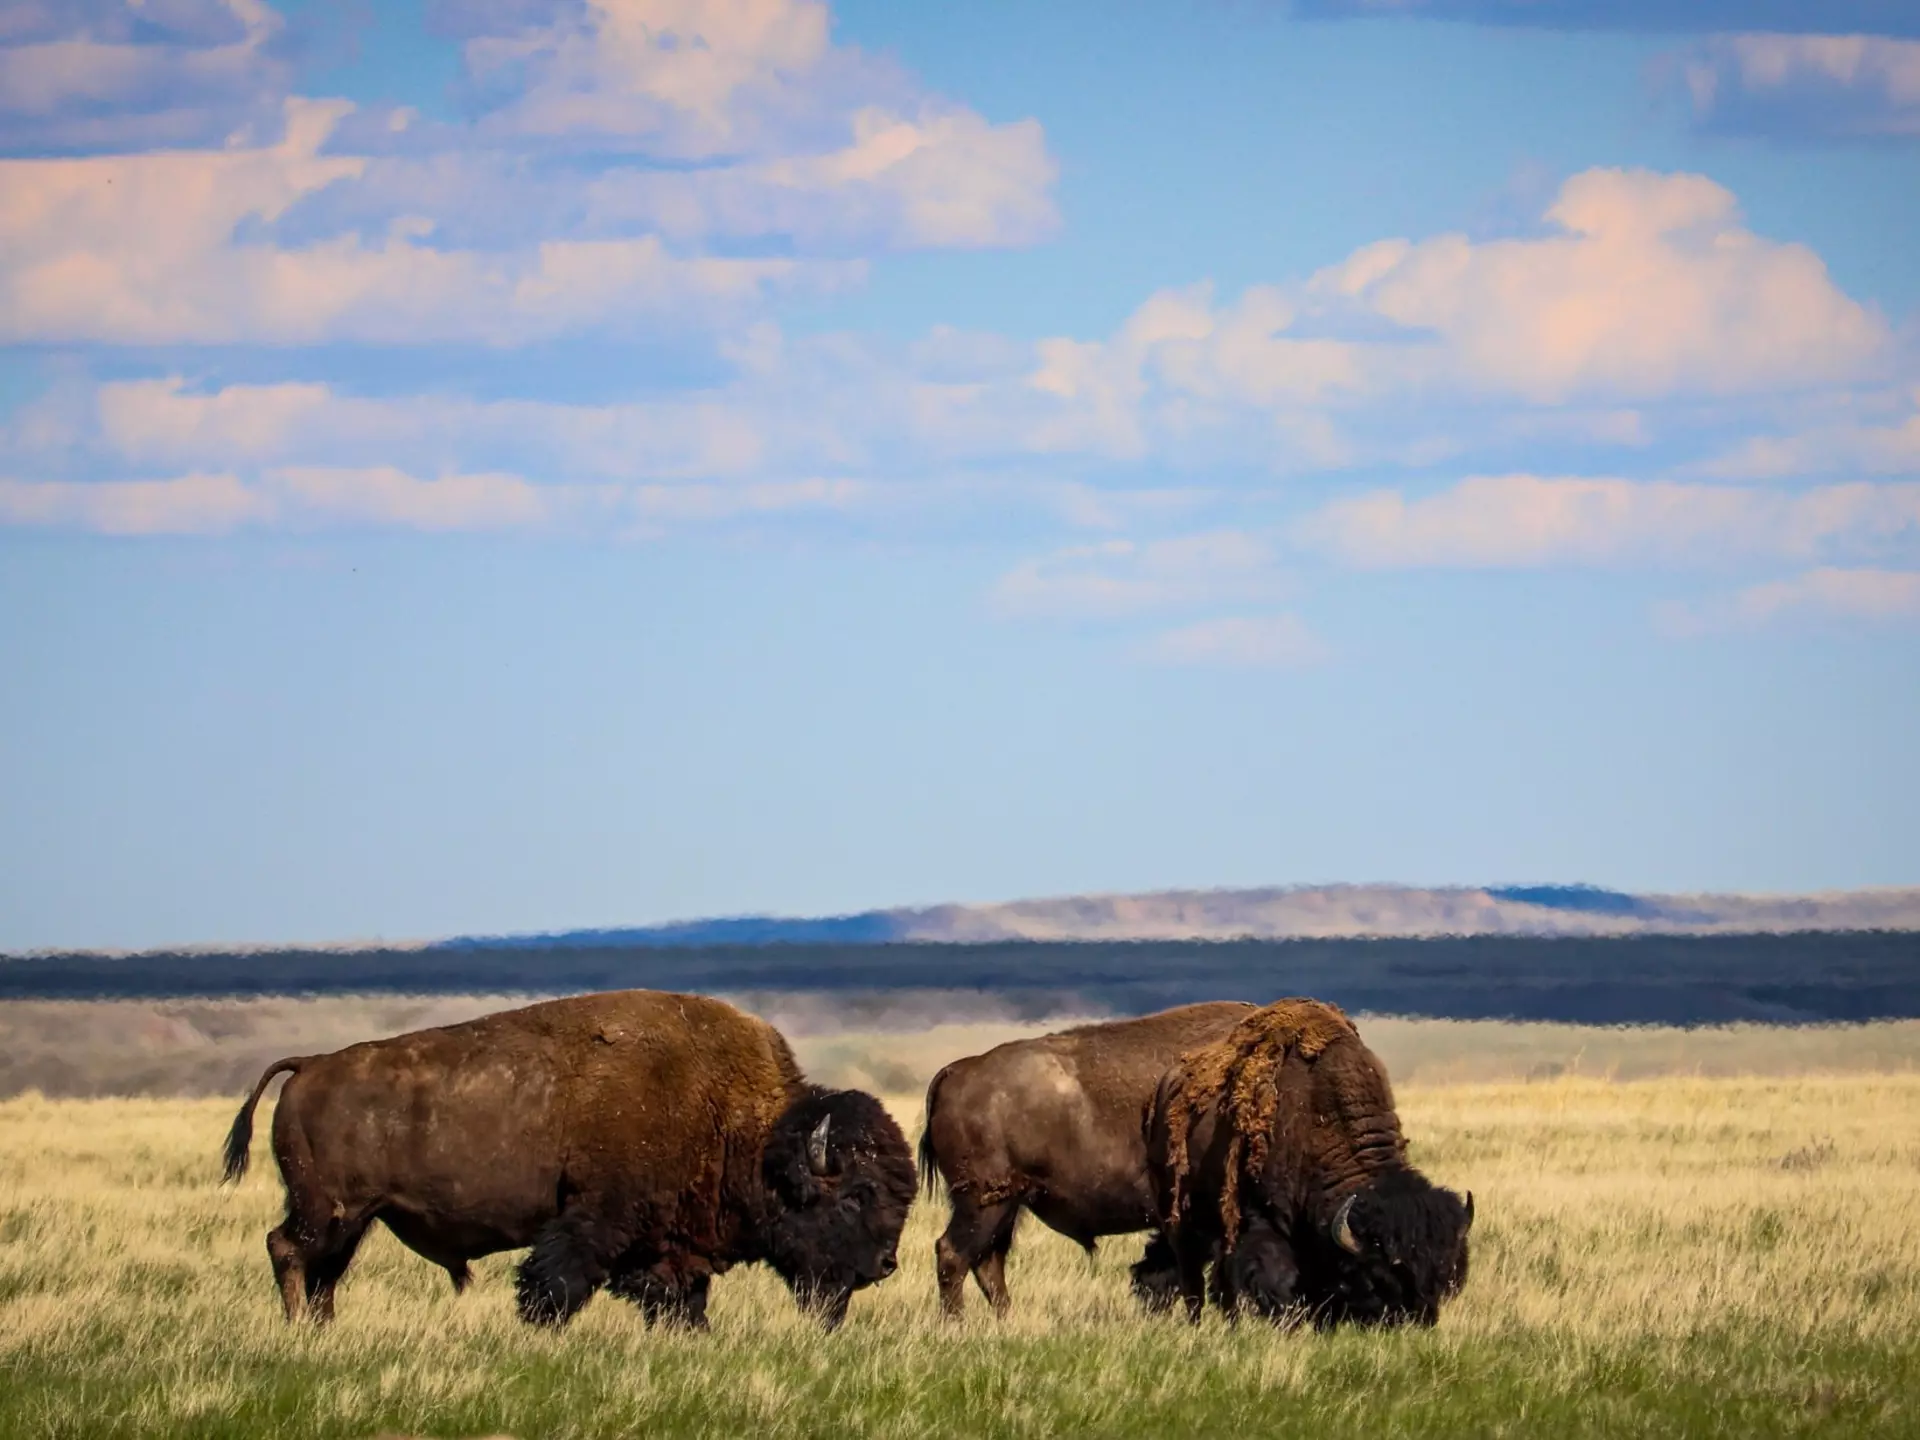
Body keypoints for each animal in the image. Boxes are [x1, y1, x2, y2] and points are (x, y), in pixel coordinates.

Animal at [222, 989, 916, 1330]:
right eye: (855, 1195)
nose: (885, 1265)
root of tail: (311, 1065)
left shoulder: (671, 1246)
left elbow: (681, 1300)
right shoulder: (593, 1221)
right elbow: (554, 1285)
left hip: (355, 1218)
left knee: (324, 1271)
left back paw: (322, 1331)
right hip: (328, 1209)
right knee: (287, 1250)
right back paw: (298, 1331)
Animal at [918, 1002, 1253, 1316]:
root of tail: (958, 1071)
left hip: (1005, 1206)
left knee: (988, 1262)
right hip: (982, 1204)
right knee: (954, 1255)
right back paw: (956, 1324)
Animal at [1147, 997, 1472, 1329]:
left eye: (1448, 1273)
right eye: (1380, 1277)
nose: (1417, 1320)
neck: (1321, 1124)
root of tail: (1165, 1089)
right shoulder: (1263, 1220)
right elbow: (1276, 1275)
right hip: (1180, 1219)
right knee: (1191, 1276)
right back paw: (1198, 1321)